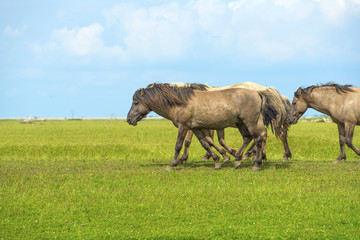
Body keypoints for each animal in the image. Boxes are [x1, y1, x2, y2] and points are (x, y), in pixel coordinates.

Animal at [126, 82, 286, 171]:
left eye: (136, 102)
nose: (128, 119)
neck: (181, 103)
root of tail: (258, 92)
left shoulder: (184, 126)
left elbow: (178, 145)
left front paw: (172, 164)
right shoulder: (196, 128)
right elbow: (205, 144)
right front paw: (217, 161)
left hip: (250, 122)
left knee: (258, 138)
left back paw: (256, 164)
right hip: (242, 123)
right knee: (249, 138)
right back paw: (238, 159)